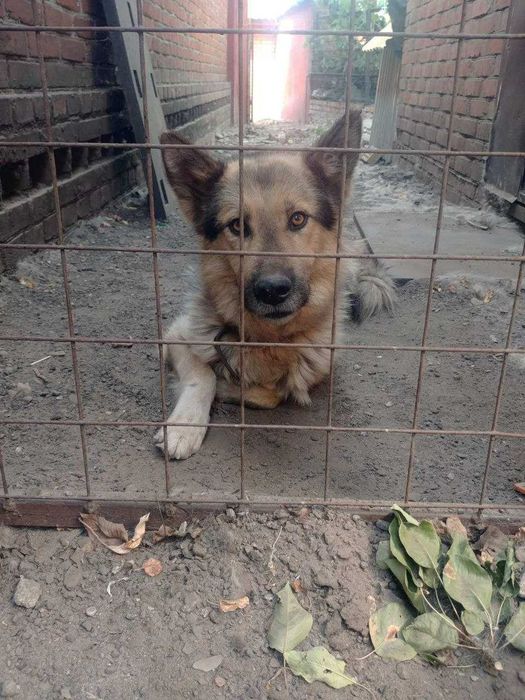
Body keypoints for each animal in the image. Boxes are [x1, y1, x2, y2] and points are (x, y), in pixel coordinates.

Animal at [155, 112, 395, 459]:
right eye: (237, 225)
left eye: (298, 219)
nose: (272, 291)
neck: (268, 338)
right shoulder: (176, 337)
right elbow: (202, 375)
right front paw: (184, 426)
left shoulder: (319, 367)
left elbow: (274, 393)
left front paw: (230, 388)